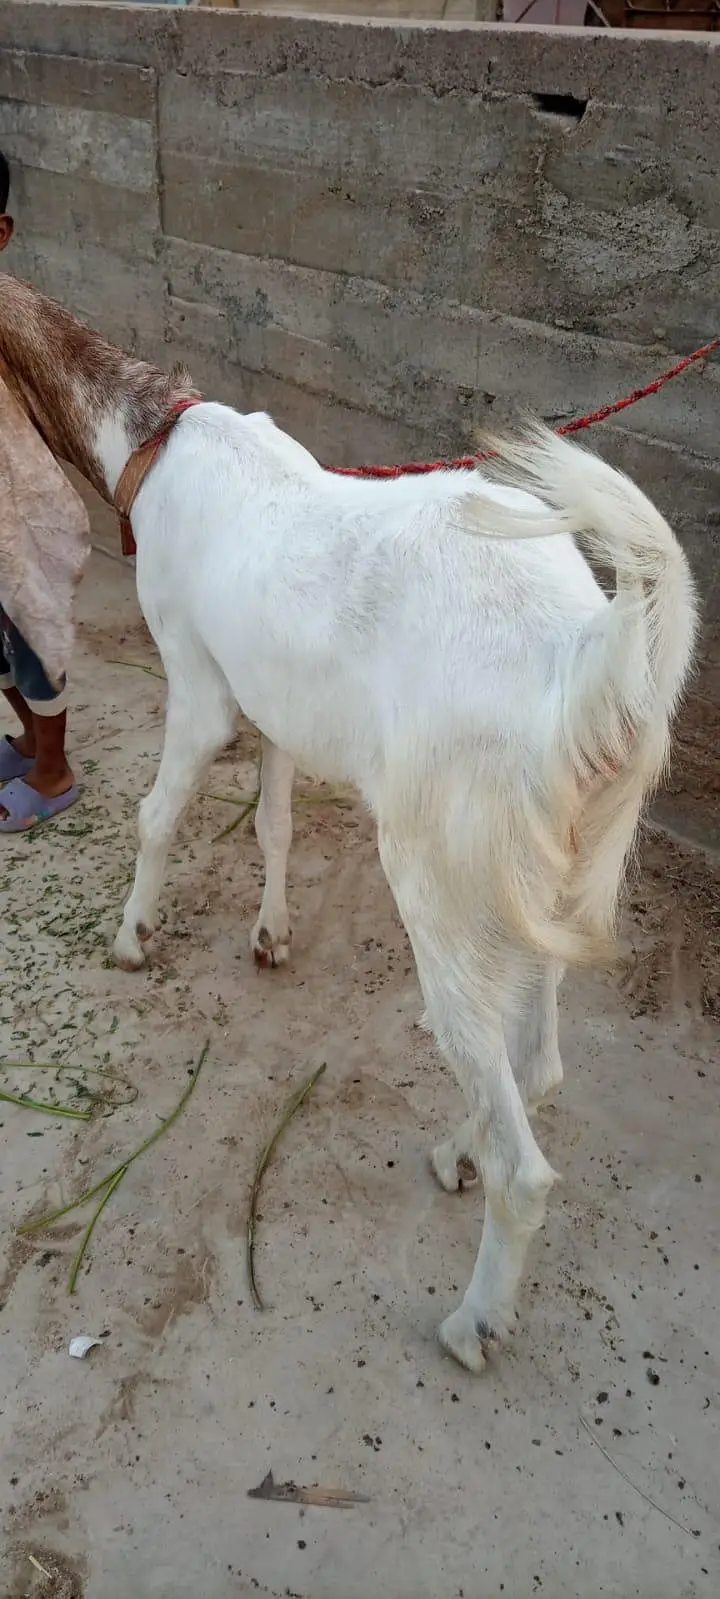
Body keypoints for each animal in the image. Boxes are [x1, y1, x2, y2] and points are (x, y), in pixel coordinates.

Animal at [0, 272, 697, 1372]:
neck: (152, 434)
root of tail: (586, 655)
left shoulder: (199, 684)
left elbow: (158, 814)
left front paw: (132, 935)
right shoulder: (279, 699)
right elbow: (275, 824)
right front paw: (271, 933)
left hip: (436, 869)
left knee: (522, 1154)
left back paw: (472, 1319)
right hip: (547, 866)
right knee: (535, 1065)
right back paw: (457, 1150)